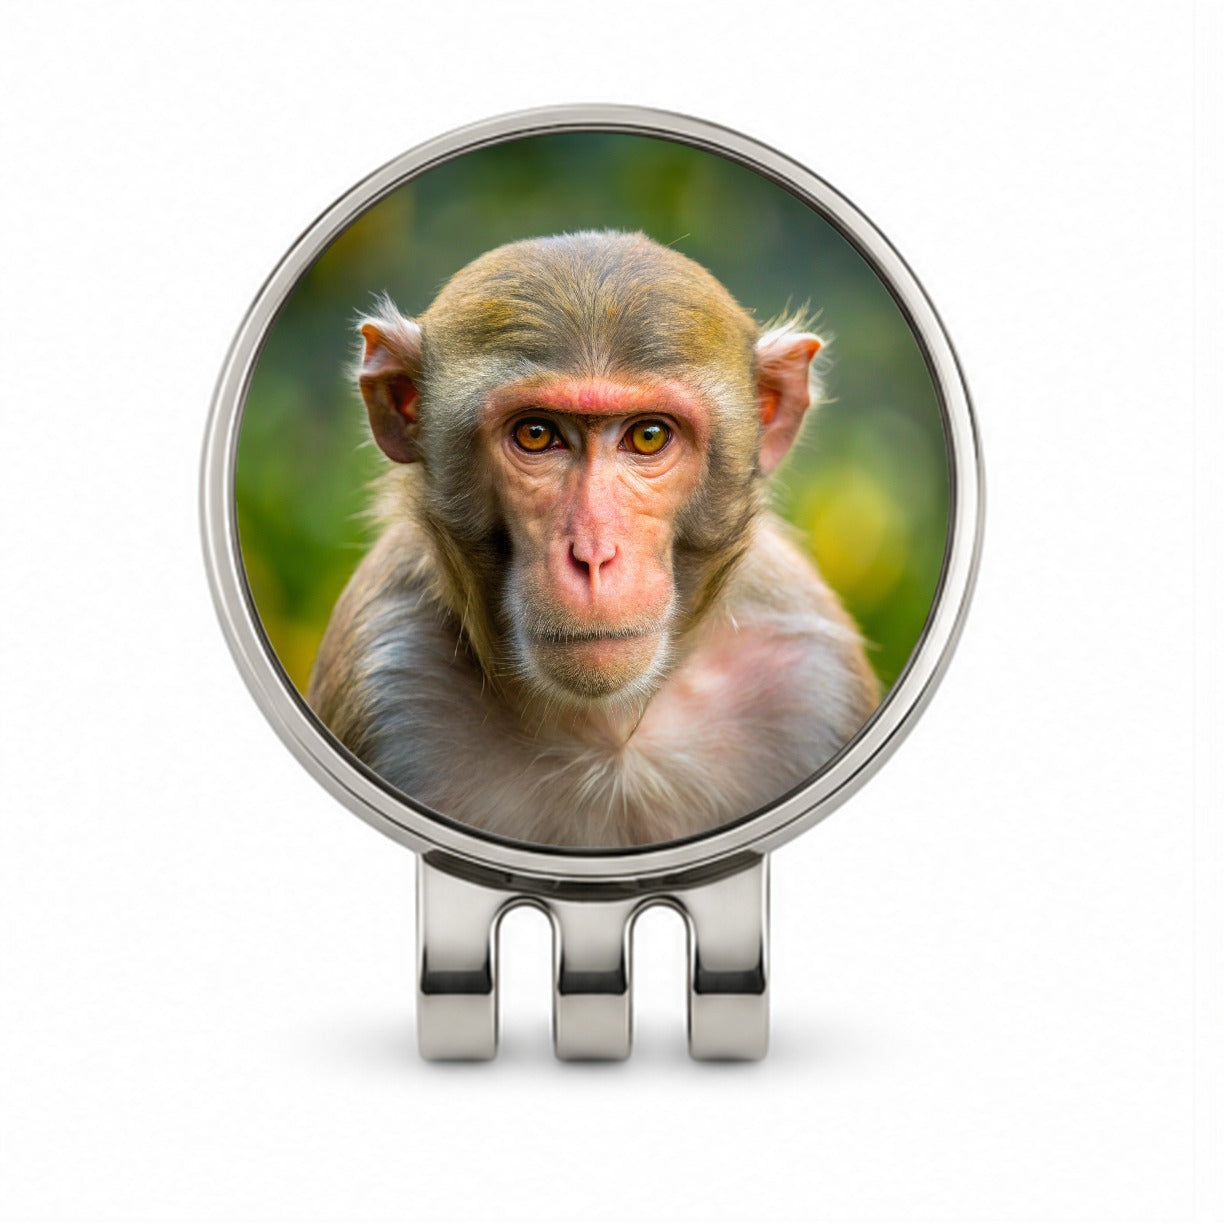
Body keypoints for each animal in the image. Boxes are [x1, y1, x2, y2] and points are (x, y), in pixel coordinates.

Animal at [307, 231, 879, 849]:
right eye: (536, 434)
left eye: (648, 436)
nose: (594, 555)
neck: (609, 729)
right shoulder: (384, 670)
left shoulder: (815, 675)